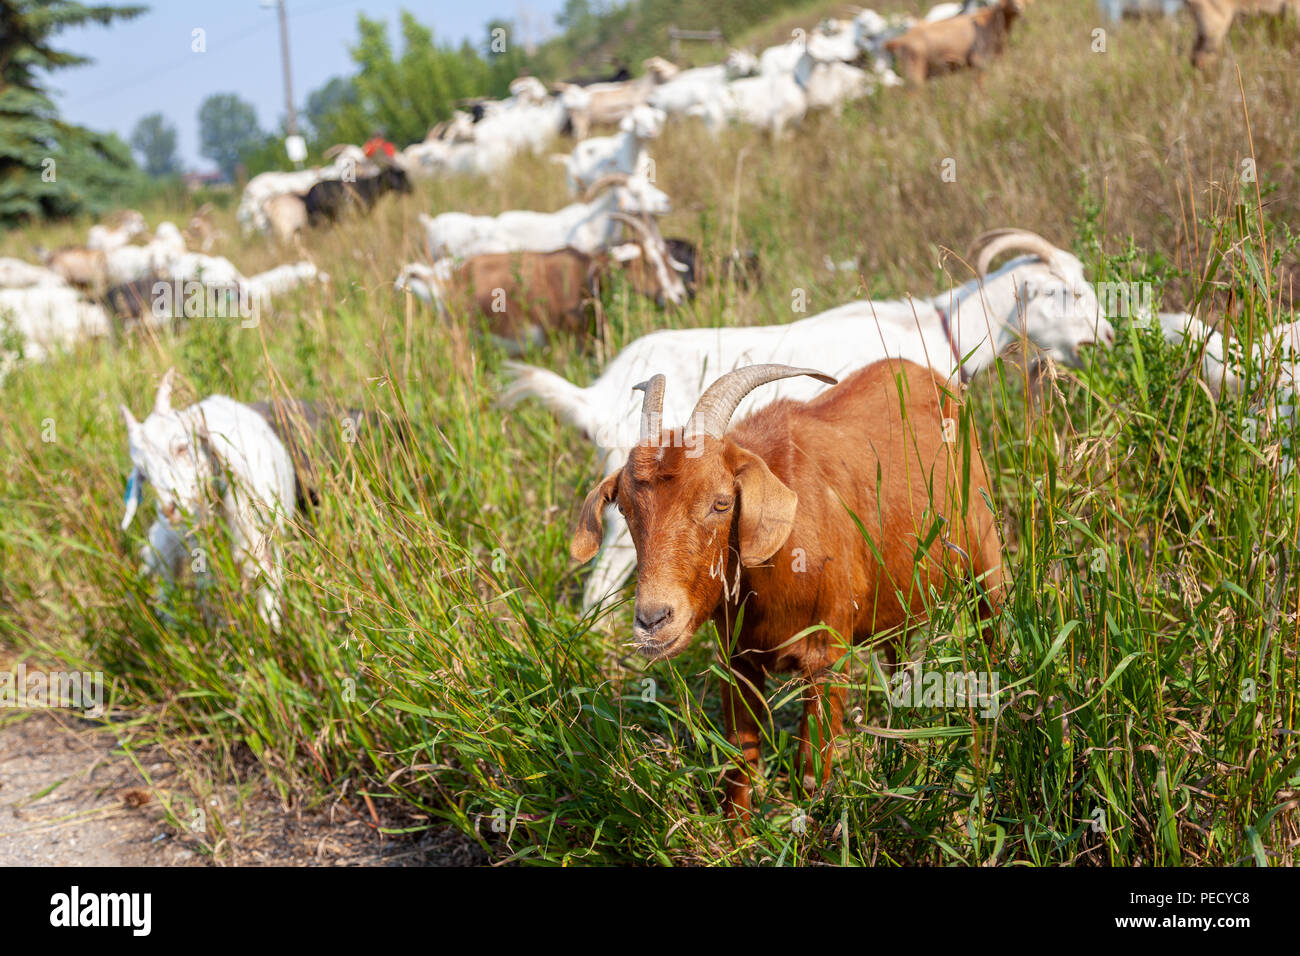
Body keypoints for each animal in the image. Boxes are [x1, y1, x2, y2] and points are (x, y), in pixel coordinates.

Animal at [120, 369, 296, 632]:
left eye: (182, 447)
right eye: (143, 474)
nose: (170, 510)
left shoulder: (268, 544)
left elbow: (269, 597)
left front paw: (272, 632)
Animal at [569, 358, 1003, 816]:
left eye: (722, 502)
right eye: (625, 507)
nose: (653, 620)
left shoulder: (827, 658)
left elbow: (810, 773)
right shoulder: (737, 660)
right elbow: (740, 766)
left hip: (986, 557)